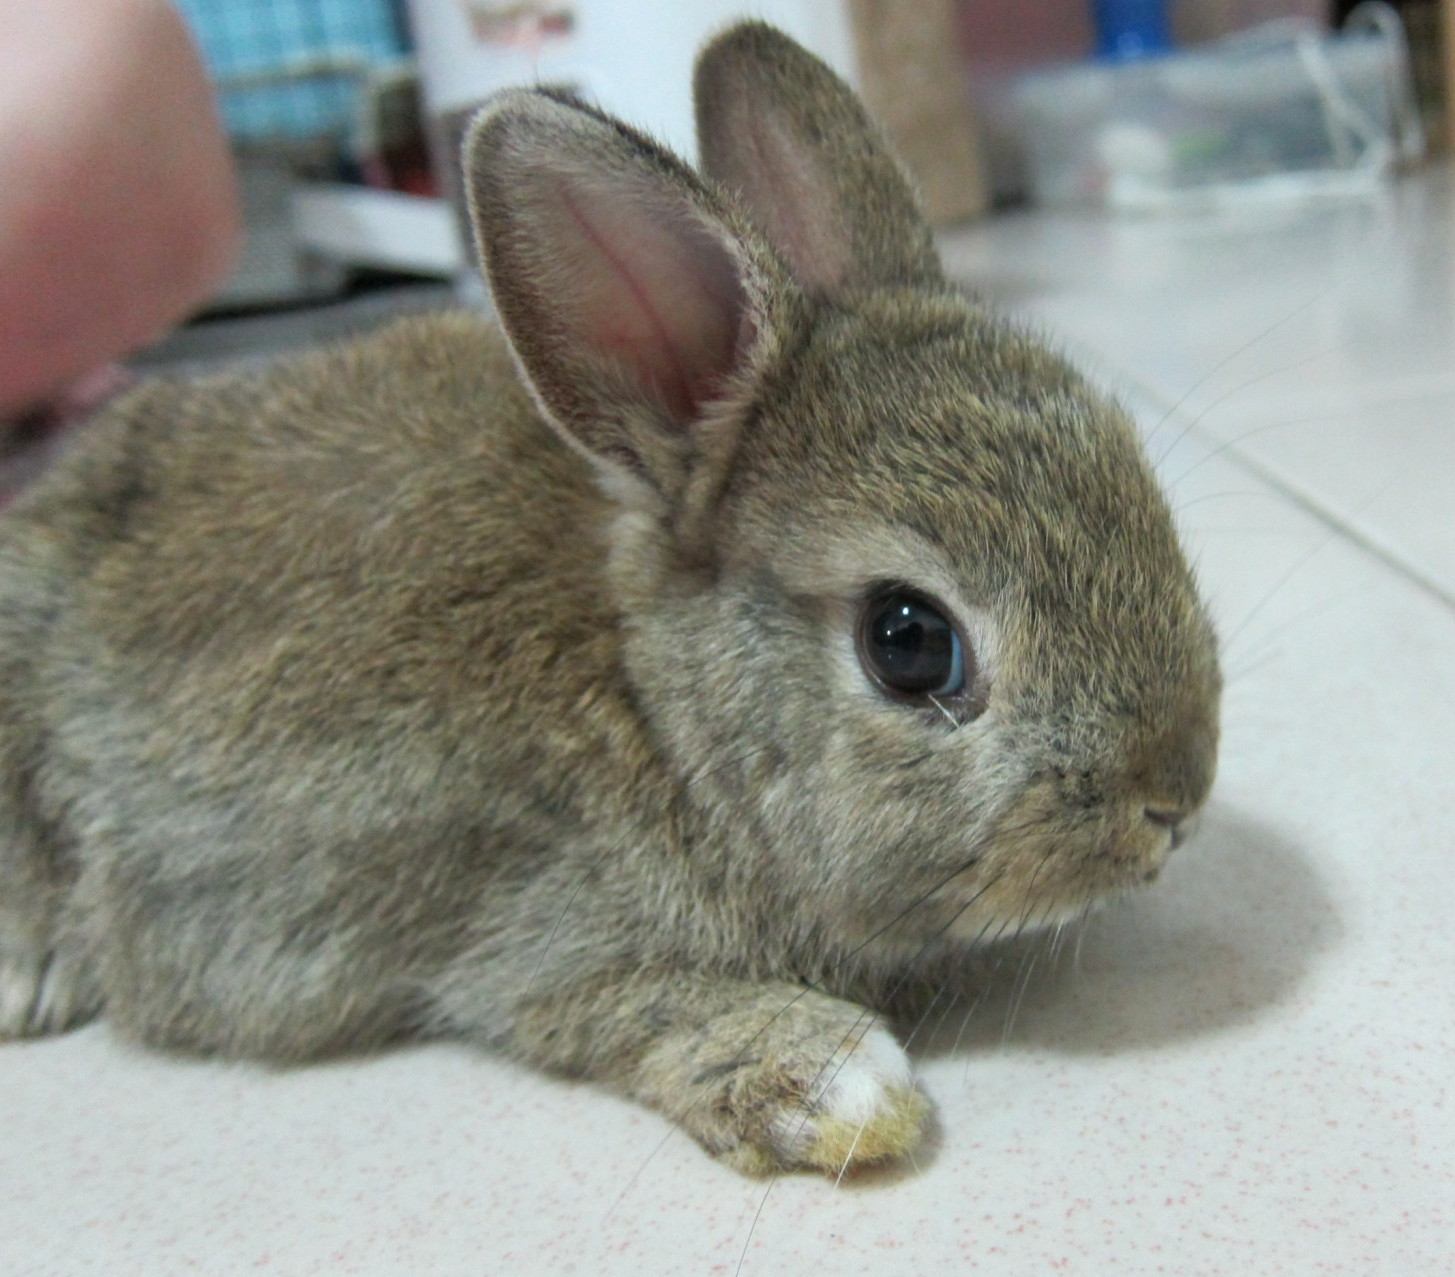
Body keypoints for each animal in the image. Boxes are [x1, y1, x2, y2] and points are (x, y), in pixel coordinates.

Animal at [0, 21, 1220, 1177]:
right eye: (909, 643)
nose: (1174, 797)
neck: (659, 704)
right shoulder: (527, 931)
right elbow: (615, 1005)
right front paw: (833, 1086)